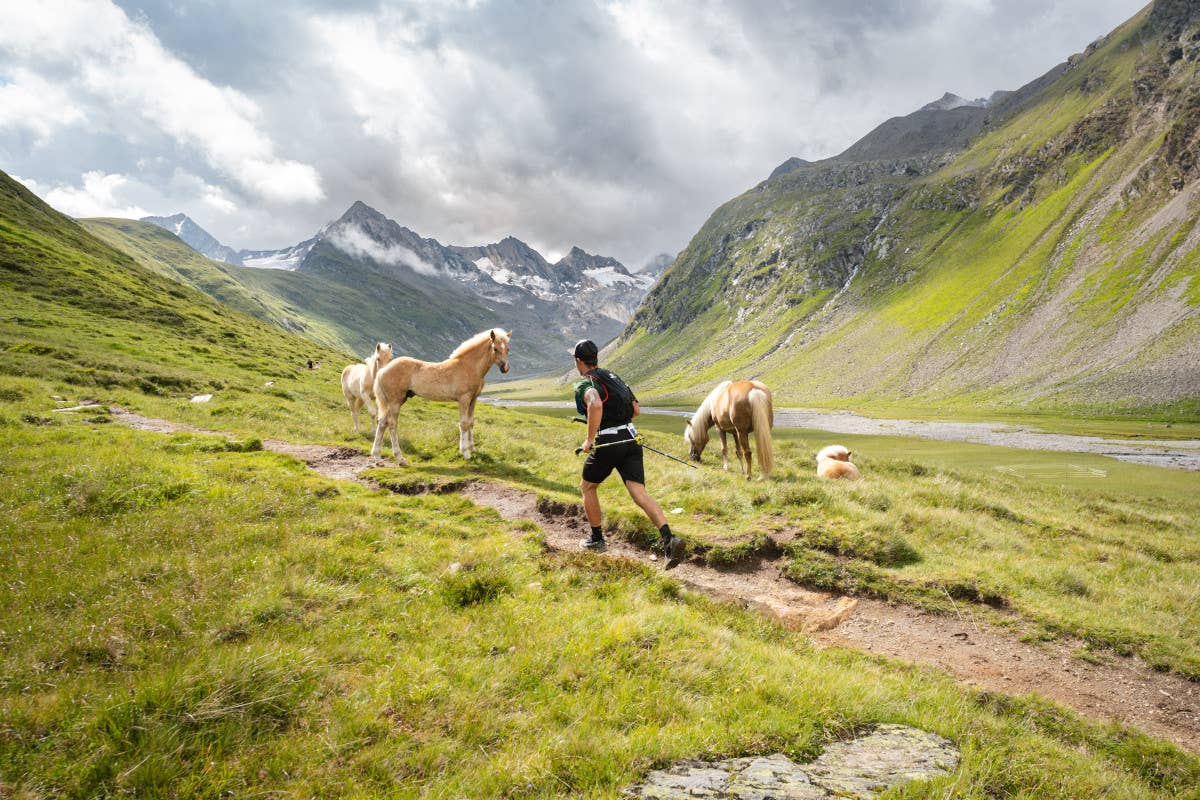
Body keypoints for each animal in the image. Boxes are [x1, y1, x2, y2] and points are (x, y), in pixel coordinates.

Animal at [369, 326, 511, 462]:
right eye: (495, 349)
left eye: (508, 349)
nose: (505, 368)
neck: (468, 367)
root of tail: (382, 370)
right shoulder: (463, 399)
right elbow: (464, 423)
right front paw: (465, 453)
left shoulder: (473, 399)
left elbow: (471, 422)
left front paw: (473, 448)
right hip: (395, 401)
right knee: (392, 424)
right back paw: (399, 457)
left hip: (395, 400)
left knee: (382, 422)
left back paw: (377, 455)